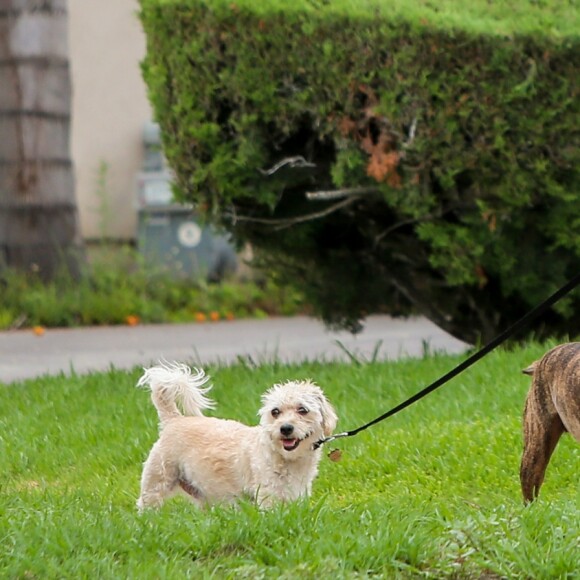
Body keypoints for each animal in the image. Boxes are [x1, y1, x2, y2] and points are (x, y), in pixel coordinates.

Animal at [137, 364, 338, 510]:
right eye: (275, 412)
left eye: (302, 410)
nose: (285, 428)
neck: (286, 459)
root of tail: (174, 420)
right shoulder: (268, 497)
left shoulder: (297, 496)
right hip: (157, 481)